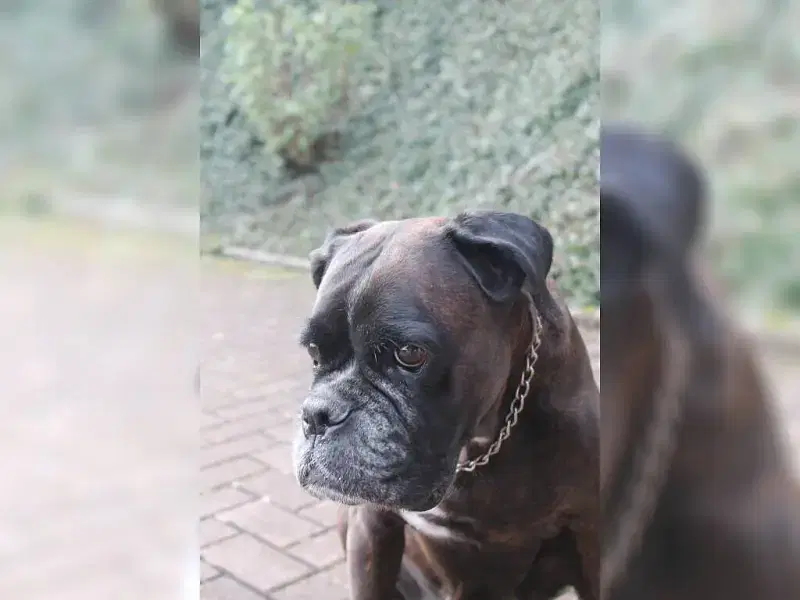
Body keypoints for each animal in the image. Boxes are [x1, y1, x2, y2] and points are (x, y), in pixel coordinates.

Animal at [292, 211, 600, 599]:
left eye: (409, 354)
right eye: (312, 351)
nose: (318, 415)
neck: (479, 448)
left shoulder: (589, 538)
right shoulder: (372, 526)